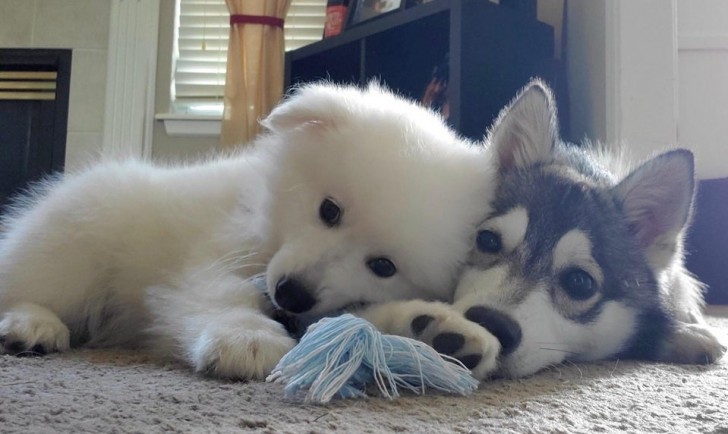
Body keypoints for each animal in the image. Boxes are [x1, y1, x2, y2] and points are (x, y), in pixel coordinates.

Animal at [0, 82, 498, 380]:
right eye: (329, 210)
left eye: (383, 265)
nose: (292, 293)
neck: (268, 227)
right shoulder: (215, 257)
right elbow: (221, 295)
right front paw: (247, 339)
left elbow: (356, 319)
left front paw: (439, 330)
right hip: (78, 239)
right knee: (25, 285)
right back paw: (31, 324)